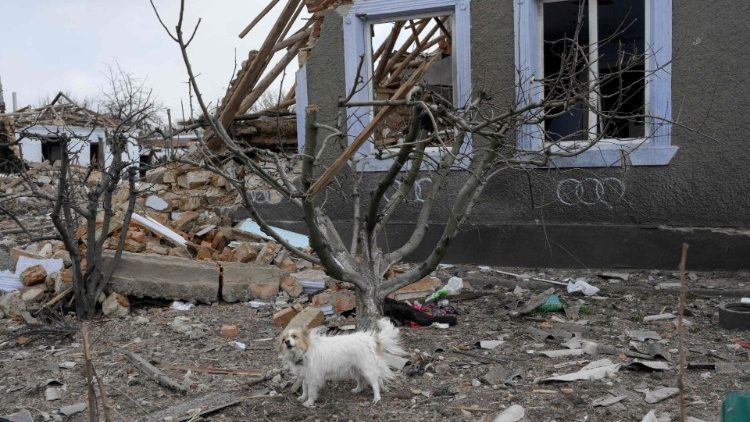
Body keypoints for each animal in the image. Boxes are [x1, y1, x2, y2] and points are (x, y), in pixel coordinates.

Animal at [278, 320, 406, 406]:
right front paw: (303, 397)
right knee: (362, 380)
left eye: (294, 336)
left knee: (375, 383)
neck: (305, 351)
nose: (287, 342)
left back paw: (377, 398)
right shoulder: (305, 375)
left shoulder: (313, 377)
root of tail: (371, 339)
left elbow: (311, 391)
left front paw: (309, 401)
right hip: (356, 369)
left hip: (367, 370)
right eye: (284, 339)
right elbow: (305, 387)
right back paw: (357, 390)